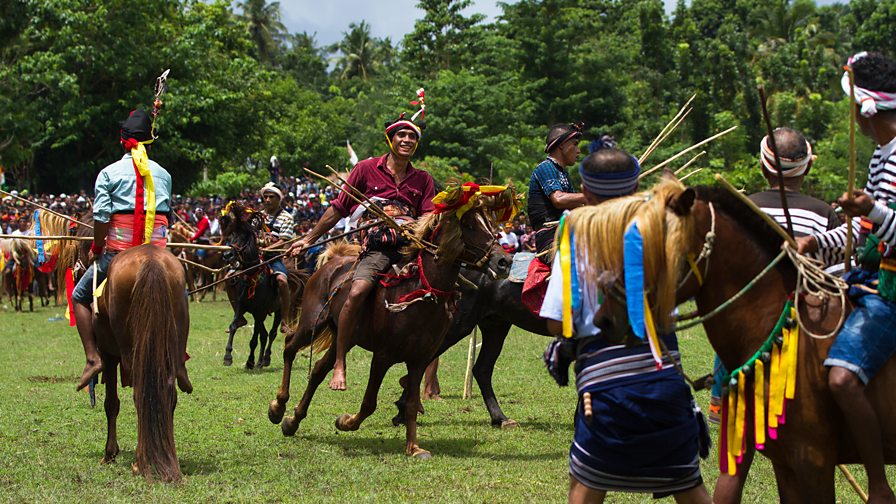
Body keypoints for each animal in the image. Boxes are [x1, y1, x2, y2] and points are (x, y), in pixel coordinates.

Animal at [92, 244, 192, 484]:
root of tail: (150, 259)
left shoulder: (108, 355)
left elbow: (111, 403)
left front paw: (110, 453)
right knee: (167, 393)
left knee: (140, 394)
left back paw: (141, 461)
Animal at [219, 202, 306, 370]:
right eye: (231, 236)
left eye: (244, 237)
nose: (227, 255)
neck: (252, 276)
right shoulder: (242, 308)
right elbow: (234, 326)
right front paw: (228, 356)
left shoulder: (259, 312)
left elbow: (256, 339)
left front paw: (250, 361)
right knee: (264, 334)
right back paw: (259, 361)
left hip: (277, 311)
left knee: (271, 334)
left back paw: (265, 358)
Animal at [266, 187, 516, 458]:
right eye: (469, 225)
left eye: (490, 223)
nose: (504, 261)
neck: (420, 292)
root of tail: (331, 261)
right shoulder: (383, 356)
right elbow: (369, 403)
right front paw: (345, 422)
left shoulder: (419, 359)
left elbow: (411, 403)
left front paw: (414, 448)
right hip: (312, 322)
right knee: (290, 347)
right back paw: (278, 406)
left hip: (344, 336)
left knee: (319, 370)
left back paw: (292, 421)